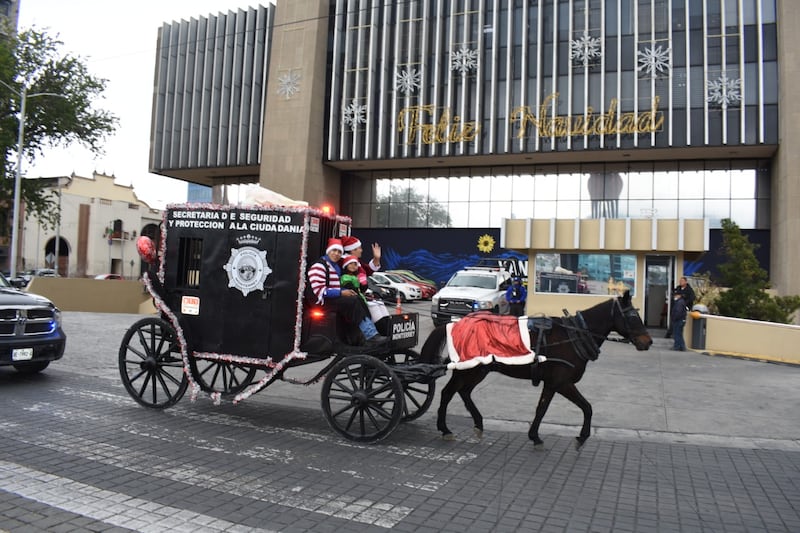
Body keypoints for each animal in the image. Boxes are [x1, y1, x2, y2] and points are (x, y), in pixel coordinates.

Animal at [418, 288, 648, 446]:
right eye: (632, 316)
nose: (648, 341)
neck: (574, 336)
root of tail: (456, 323)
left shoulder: (553, 383)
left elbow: (545, 408)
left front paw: (535, 435)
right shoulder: (561, 382)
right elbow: (584, 407)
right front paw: (580, 437)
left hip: (477, 371)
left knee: (463, 392)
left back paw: (477, 423)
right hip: (469, 370)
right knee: (448, 393)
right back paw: (445, 428)